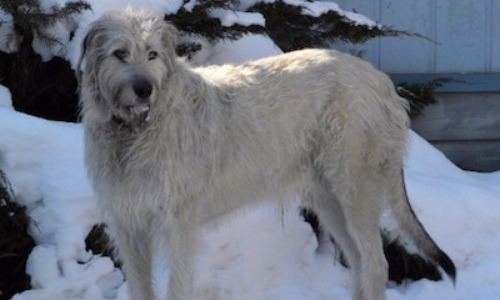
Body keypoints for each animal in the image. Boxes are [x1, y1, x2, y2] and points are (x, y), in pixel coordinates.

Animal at [76, 9, 456, 300]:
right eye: (120, 53)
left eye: (152, 54)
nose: (144, 90)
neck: (136, 129)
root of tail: (385, 84)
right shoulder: (130, 225)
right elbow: (140, 286)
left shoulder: (179, 223)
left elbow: (178, 286)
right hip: (328, 198)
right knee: (360, 261)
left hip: (356, 187)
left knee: (377, 265)